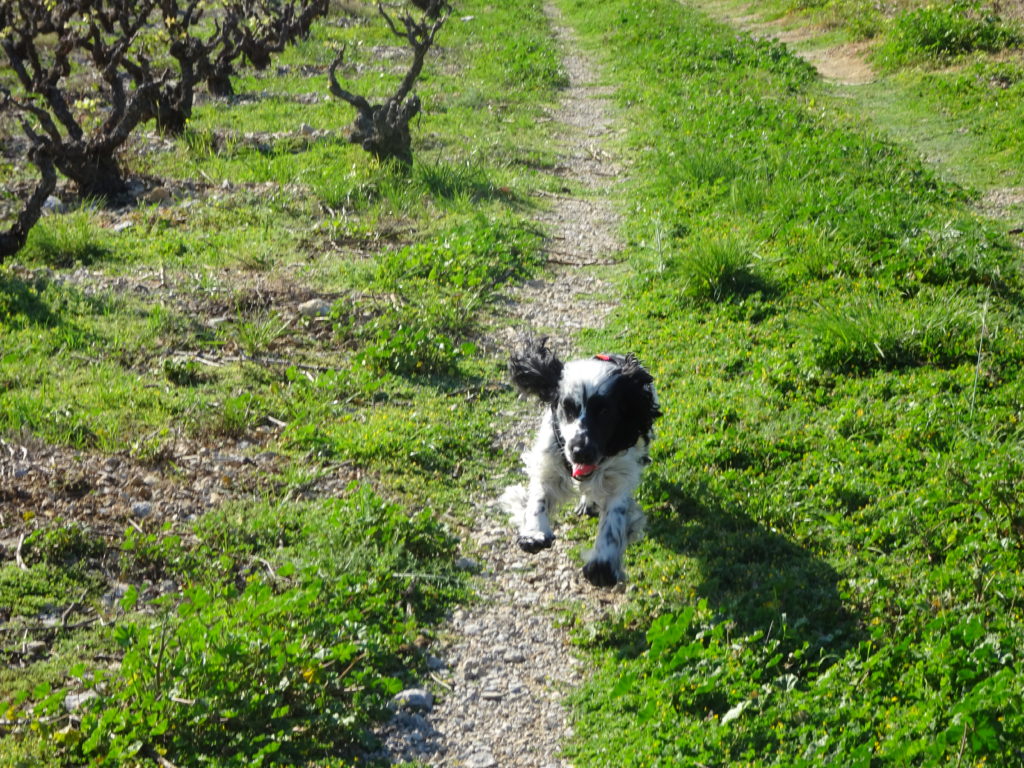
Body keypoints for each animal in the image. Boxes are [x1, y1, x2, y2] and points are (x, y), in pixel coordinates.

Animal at [499, 337, 659, 589]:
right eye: (567, 407)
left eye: (605, 411)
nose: (580, 452)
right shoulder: (549, 462)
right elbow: (538, 497)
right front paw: (534, 532)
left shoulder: (620, 477)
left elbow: (613, 521)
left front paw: (602, 564)